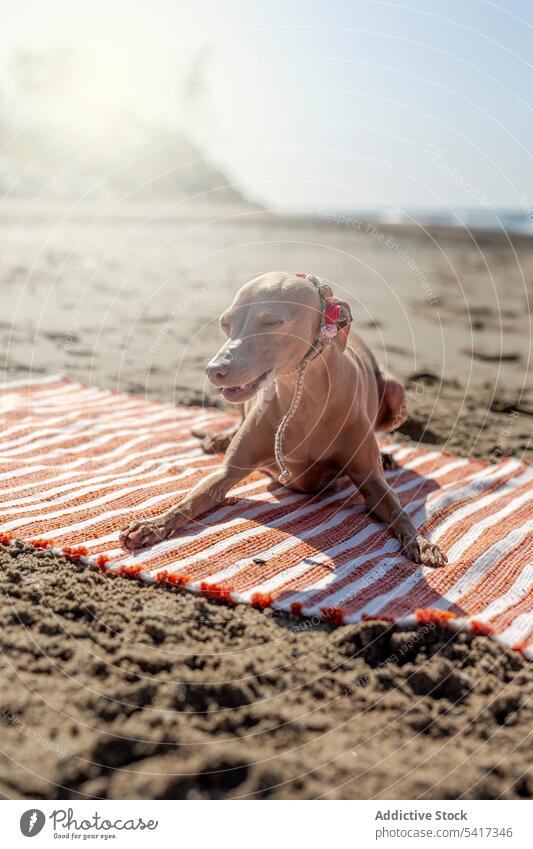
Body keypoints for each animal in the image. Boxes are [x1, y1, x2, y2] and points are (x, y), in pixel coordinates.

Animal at [119, 268, 444, 568]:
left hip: (396, 392)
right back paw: (220, 438)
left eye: (271, 321)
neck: (303, 399)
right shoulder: (227, 473)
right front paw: (153, 525)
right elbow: (192, 498)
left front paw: (420, 542)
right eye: (225, 323)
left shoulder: (371, 481)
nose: (213, 370)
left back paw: (388, 456)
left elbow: (398, 508)